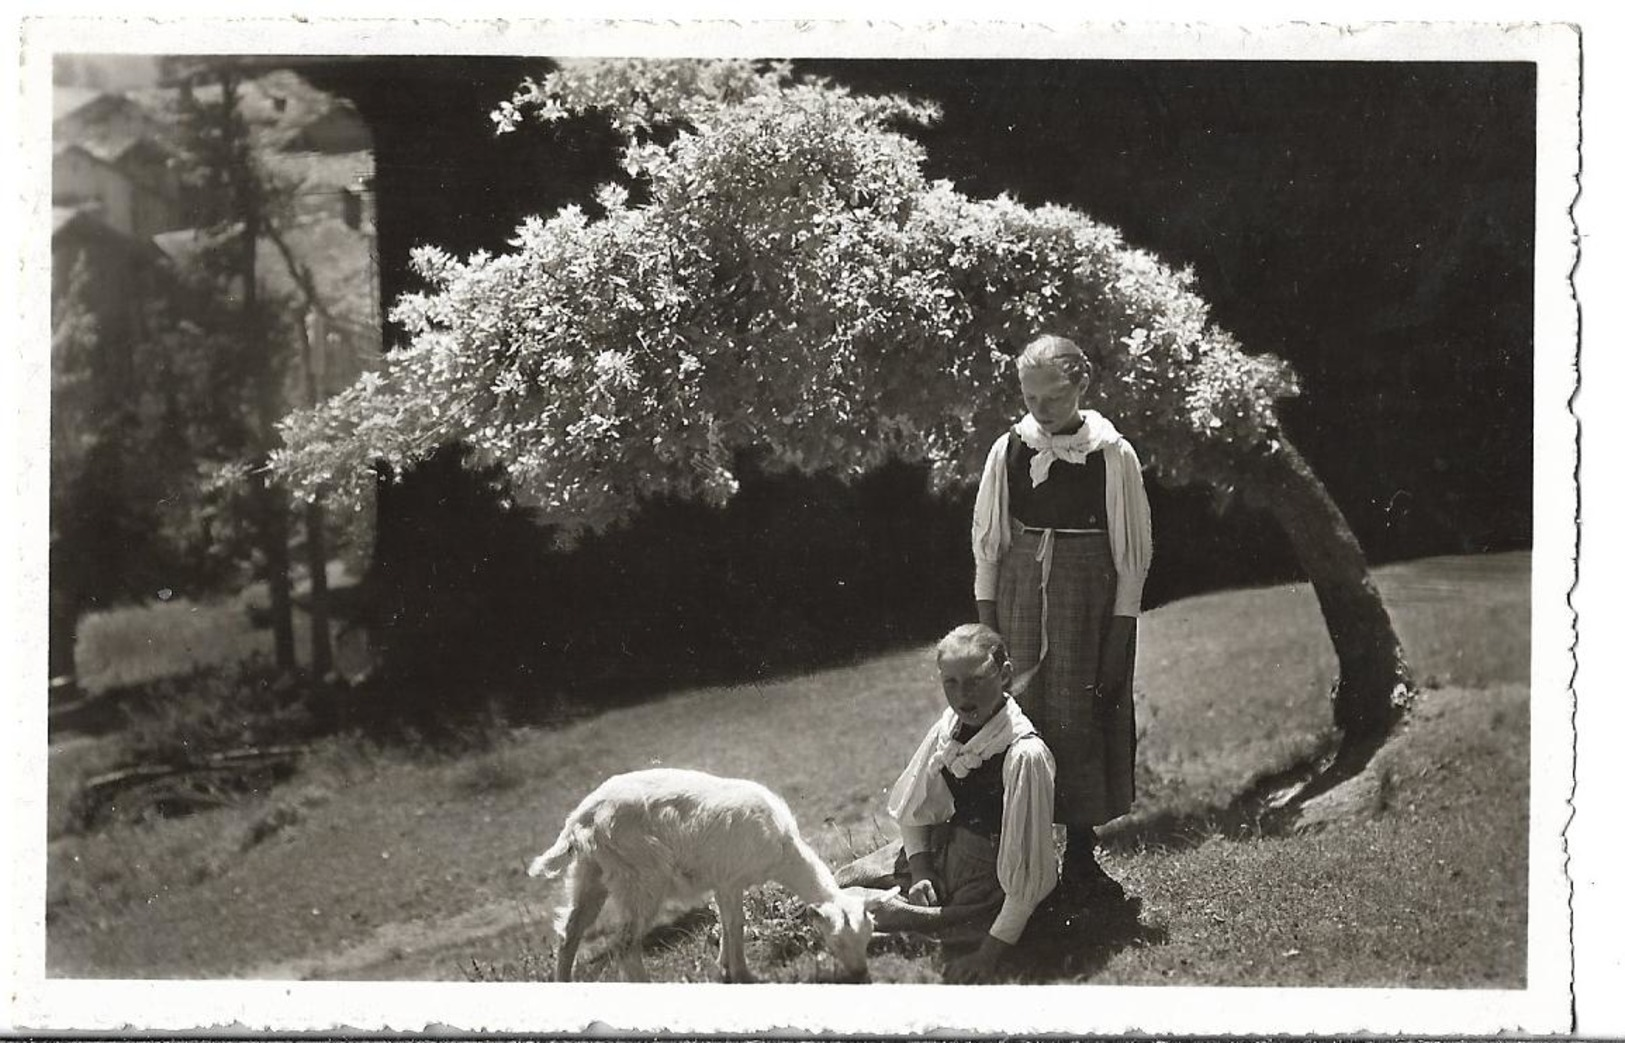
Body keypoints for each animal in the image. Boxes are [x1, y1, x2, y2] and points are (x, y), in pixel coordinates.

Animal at [529, 766, 890, 981]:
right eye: (837, 941)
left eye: (869, 936)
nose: (861, 973)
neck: (785, 851)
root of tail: (581, 817)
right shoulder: (730, 878)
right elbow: (735, 923)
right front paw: (742, 973)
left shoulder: (722, 882)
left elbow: (725, 925)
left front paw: (726, 967)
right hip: (640, 876)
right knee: (624, 943)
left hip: (590, 871)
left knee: (569, 933)